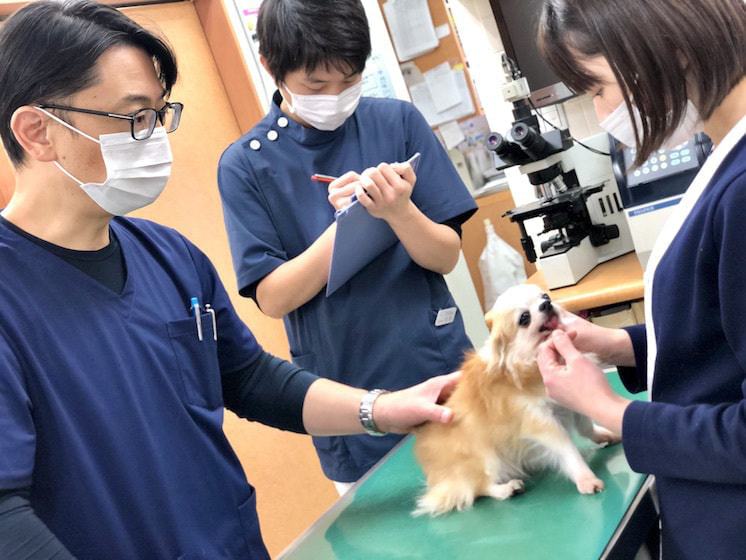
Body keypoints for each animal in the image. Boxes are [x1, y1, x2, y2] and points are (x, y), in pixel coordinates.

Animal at [413, 283, 618, 516]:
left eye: (545, 296)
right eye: (524, 318)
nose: (546, 304)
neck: (532, 362)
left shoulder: (571, 400)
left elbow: (585, 427)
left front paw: (602, 434)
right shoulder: (541, 422)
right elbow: (568, 451)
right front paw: (585, 478)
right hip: (485, 457)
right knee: (477, 487)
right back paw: (506, 489)